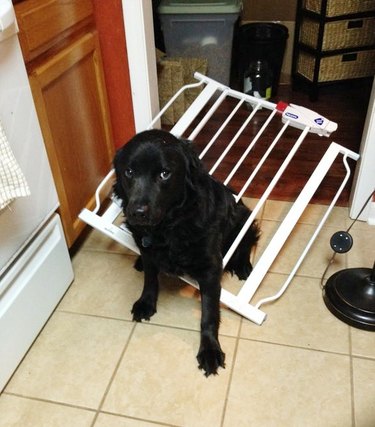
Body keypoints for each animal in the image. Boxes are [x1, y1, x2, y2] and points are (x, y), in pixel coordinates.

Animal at [114, 129, 260, 376]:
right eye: (129, 172)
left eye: (164, 174)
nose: (137, 213)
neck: (169, 227)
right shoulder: (147, 248)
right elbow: (150, 279)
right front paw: (146, 302)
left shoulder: (210, 268)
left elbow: (209, 314)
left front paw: (210, 350)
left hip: (243, 216)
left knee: (247, 240)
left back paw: (242, 265)